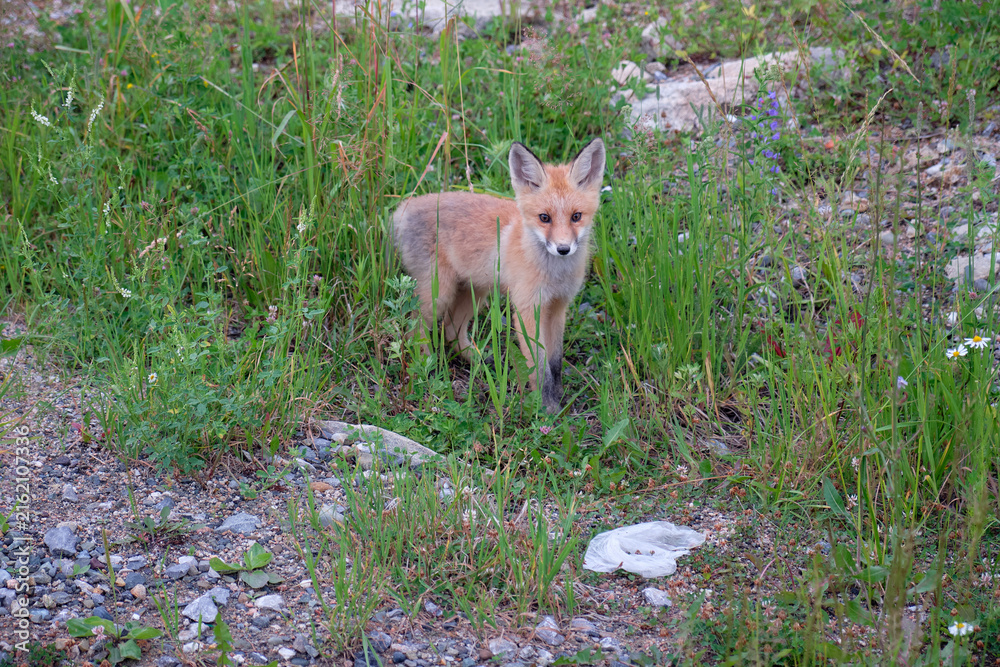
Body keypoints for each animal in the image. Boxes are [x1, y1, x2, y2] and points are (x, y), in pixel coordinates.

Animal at [392, 137, 606, 413]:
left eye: (576, 216)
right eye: (544, 218)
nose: (563, 249)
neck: (554, 274)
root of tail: (402, 210)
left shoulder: (558, 307)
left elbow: (555, 362)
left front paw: (558, 397)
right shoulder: (527, 310)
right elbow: (539, 367)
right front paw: (547, 410)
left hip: (475, 292)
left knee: (451, 331)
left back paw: (480, 361)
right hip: (440, 294)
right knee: (415, 331)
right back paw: (427, 371)